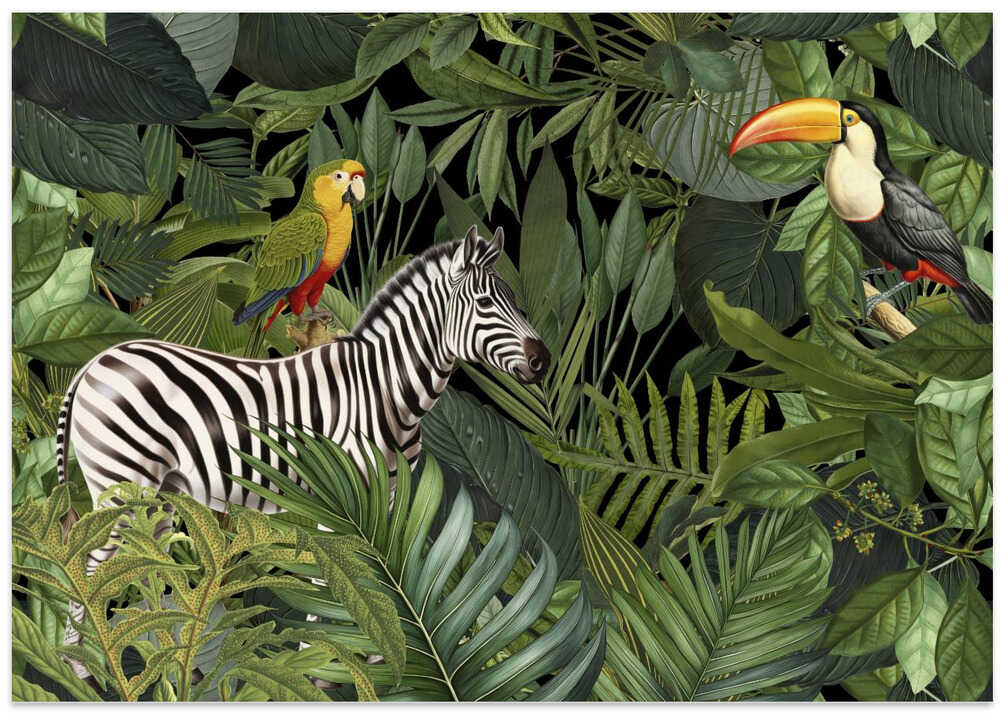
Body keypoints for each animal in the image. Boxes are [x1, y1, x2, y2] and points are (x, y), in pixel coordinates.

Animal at [55, 226, 550, 676]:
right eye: (485, 303)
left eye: (514, 300)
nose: (543, 361)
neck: (384, 390)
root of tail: (92, 362)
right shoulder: (342, 503)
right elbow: (336, 581)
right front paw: (325, 665)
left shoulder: (389, 499)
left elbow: (386, 578)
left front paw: (391, 664)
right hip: (122, 486)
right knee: (91, 571)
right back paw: (83, 671)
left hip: (157, 496)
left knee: (145, 567)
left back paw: (166, 659)